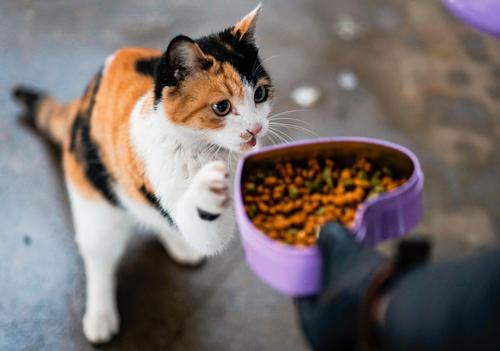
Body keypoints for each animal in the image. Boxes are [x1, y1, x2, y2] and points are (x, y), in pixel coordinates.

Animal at [12, 4, 274, 342]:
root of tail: (81, 101)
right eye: (221, 107)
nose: (256, 128)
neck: (204, 150)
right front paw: (209, 190)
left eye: (259, 94)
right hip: (97, 204)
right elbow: (203, 226)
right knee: (99, 257)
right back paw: (100, 317)